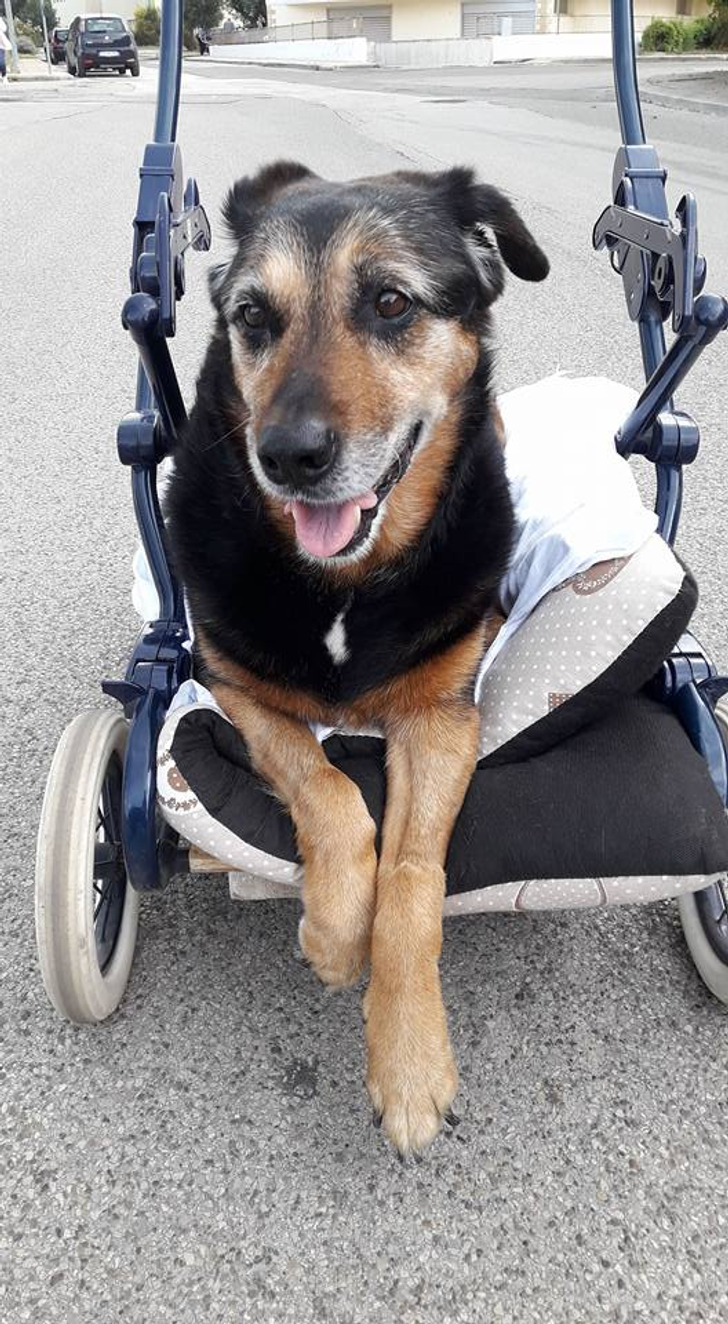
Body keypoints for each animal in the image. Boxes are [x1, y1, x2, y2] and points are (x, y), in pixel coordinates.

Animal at [168, 165, 550, 1154]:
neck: (344, 583)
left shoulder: (444, 719)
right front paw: (336, 936)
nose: (286, 458)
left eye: (390, 302)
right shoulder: (233, 687)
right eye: (253, 316)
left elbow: (413, 875)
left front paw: (409, 1061)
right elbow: (330, 789)